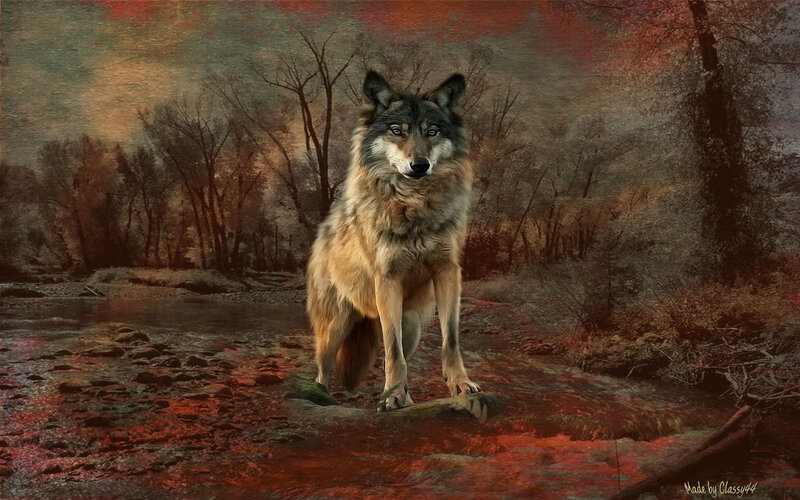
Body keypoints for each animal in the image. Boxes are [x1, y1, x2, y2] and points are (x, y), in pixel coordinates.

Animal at [306, 70, 480, 412]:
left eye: (432, 131)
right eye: (397, 131)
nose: (420, 165)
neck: (414, 204)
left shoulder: (448, 272)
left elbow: (450, 339)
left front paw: (460, 384)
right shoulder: (387, 280)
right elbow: (392, 349)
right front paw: (393, 396)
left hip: (411, 324)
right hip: (336, 324)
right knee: (324, 366)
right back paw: (321, 396)